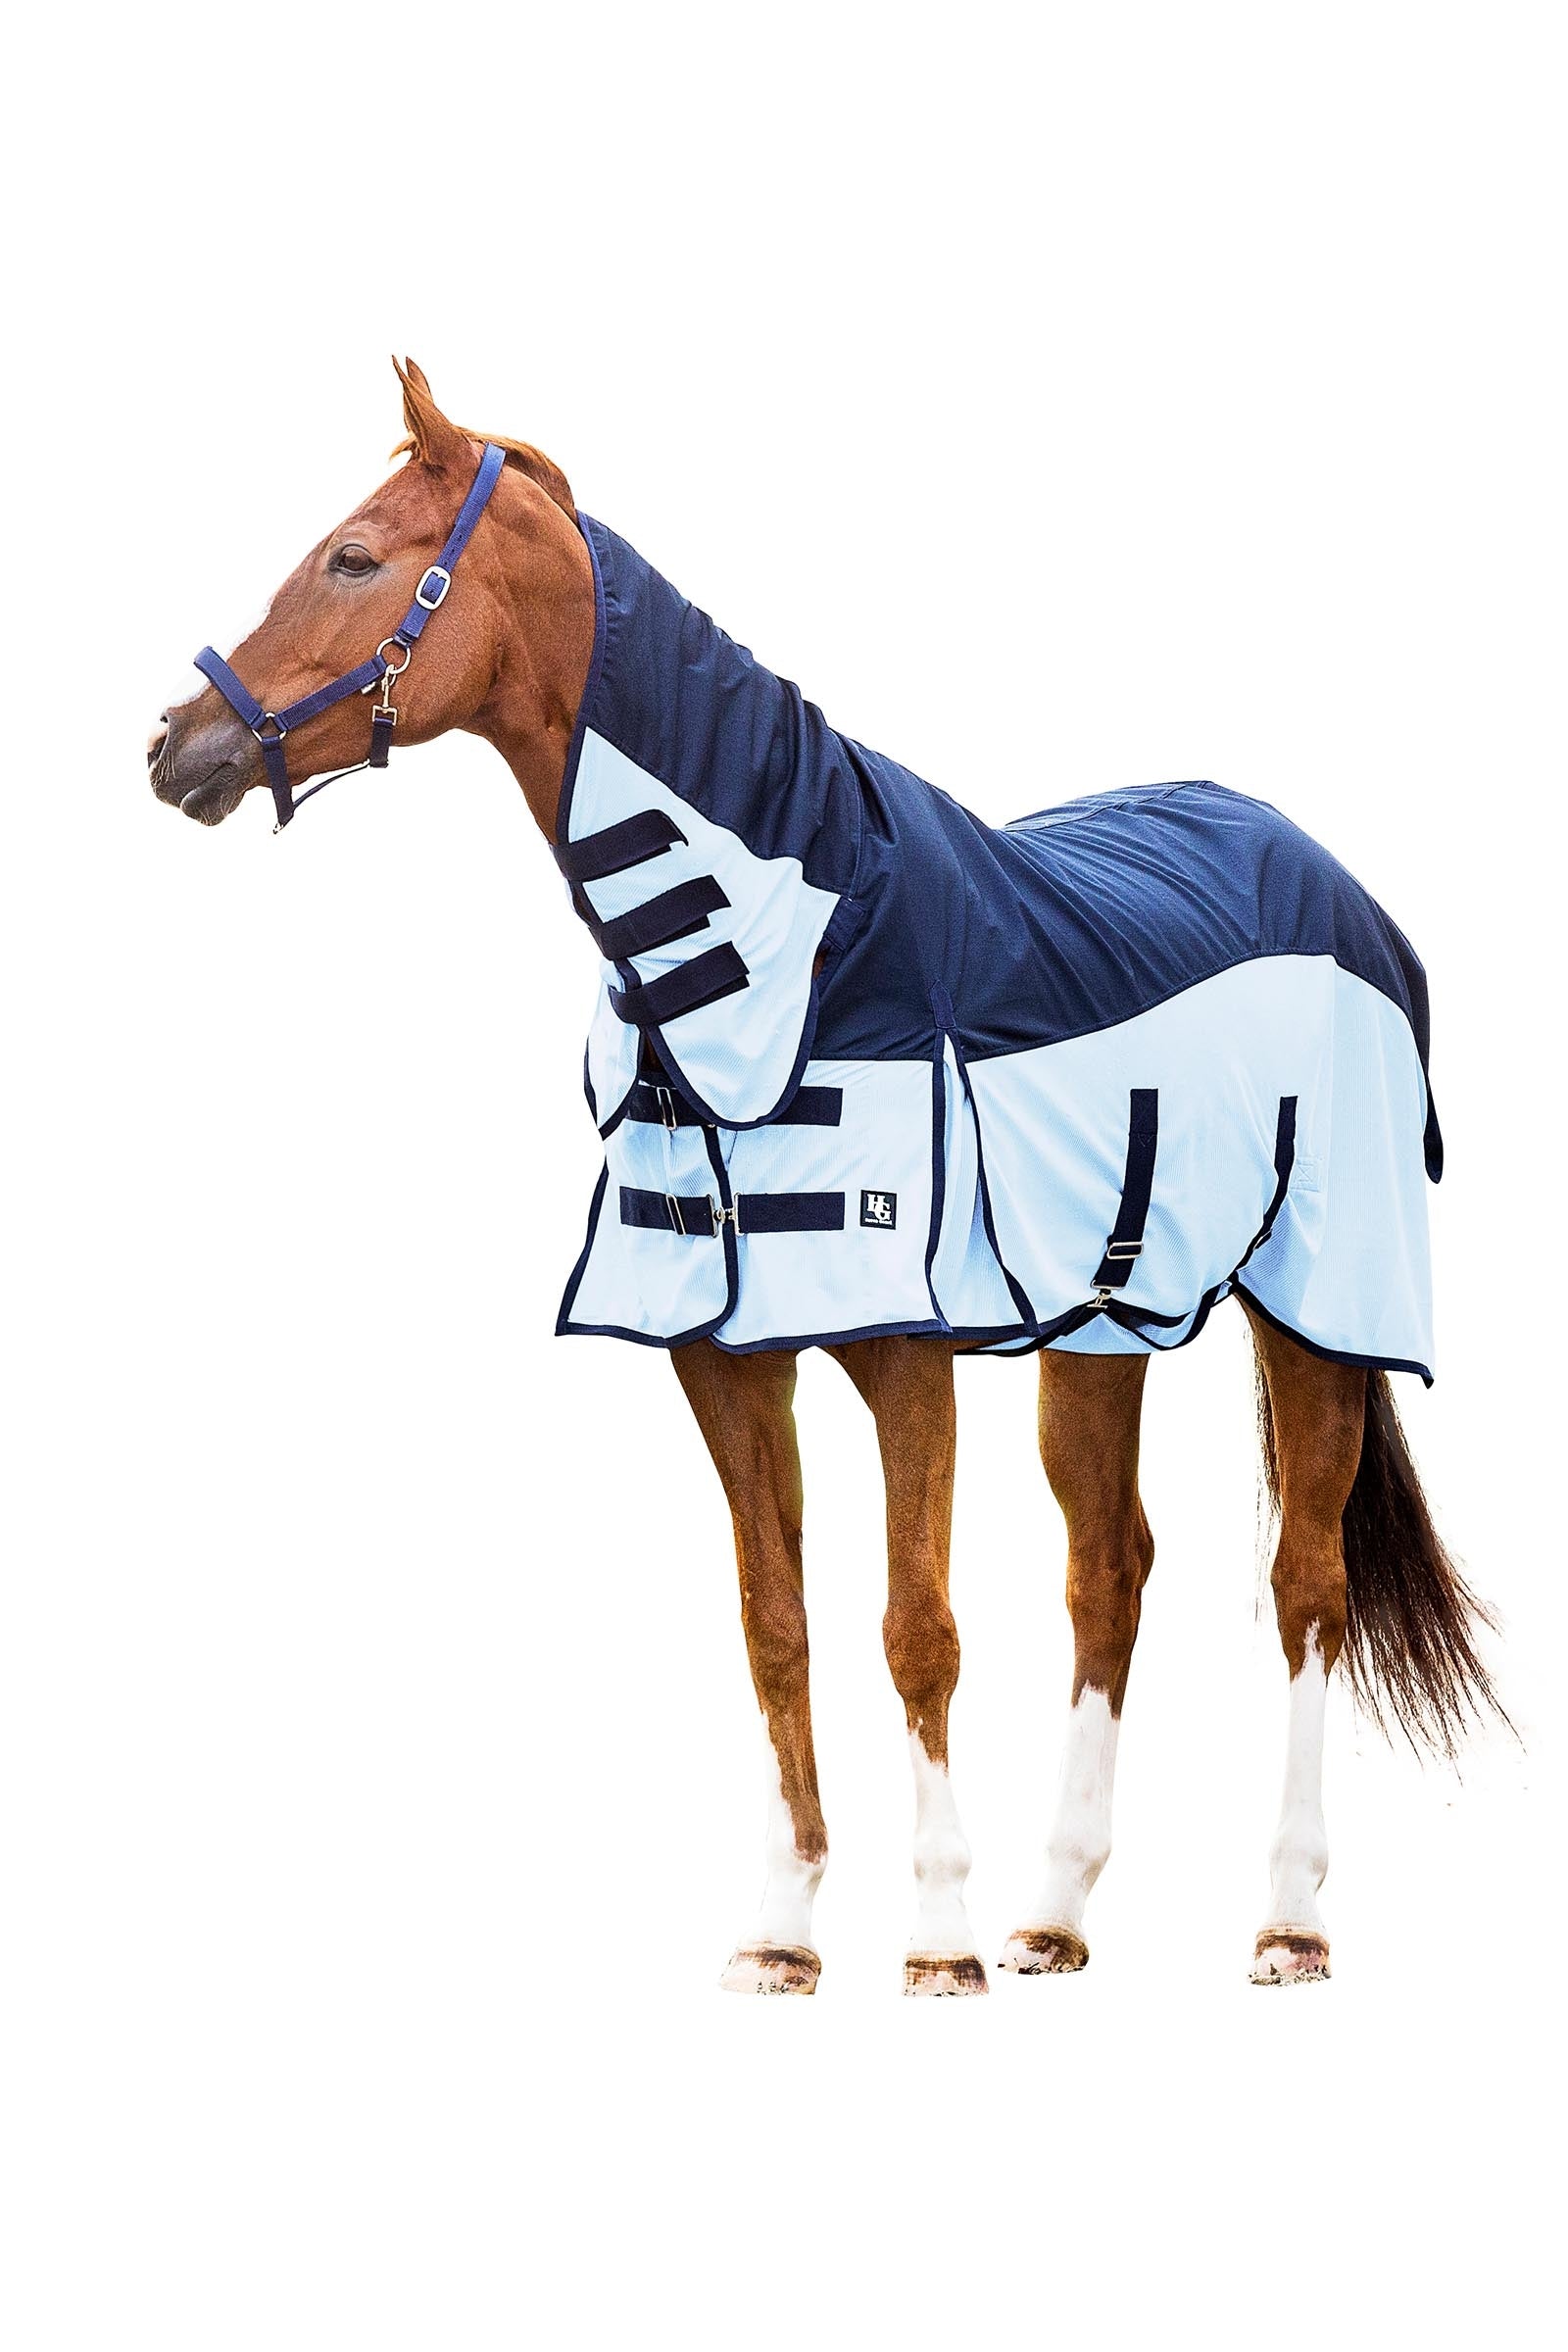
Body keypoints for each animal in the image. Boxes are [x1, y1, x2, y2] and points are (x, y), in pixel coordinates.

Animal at [149, 358, 1500, 1996]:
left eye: (352, 557)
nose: (173, 746)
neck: (792, 952)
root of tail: (1320, 868)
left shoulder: (903, 1351)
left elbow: (917, 1626)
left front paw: (935, 1941)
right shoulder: (723, 1354)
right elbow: (774, 1621)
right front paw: (787, 1935)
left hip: (1316, 1303)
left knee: (1306, 1580)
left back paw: (1287, 1920)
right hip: (1105, 1326)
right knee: (1108, 1568)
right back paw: (1057, 1911)